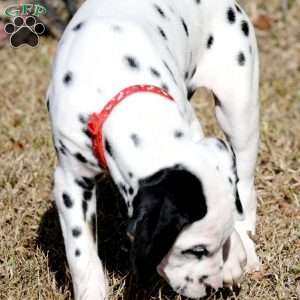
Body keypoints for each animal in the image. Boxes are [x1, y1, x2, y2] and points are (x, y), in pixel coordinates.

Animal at [47, 0, 260, 298]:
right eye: (195, 250)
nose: (212, 287)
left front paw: (234, 256)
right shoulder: (70, 181)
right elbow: (82, 255)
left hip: (238, 112)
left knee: (246, 187)